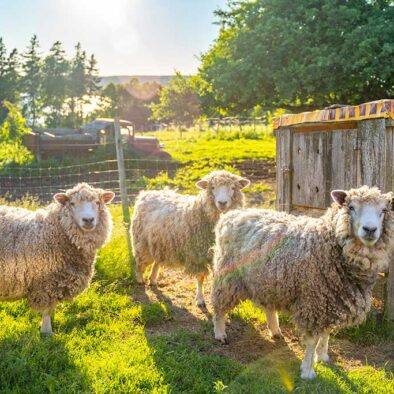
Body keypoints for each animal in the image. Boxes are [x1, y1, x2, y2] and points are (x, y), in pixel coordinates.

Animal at [0, 183, 114, 334]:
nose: (88, 220)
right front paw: (47, 331)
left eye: (97, 202)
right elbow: (47, 310)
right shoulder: (44, 283)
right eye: (72, 203)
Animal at [132, 171, 249, 306]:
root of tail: (146, 193)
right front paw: (200, 299)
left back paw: (152, 280)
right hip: (141, 241)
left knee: (157, 261)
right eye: (212, 187)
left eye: (233, 188)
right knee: (140, 261)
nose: (222, 203)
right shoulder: (197, 254)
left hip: (160, 243)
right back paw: (140, 279)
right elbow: (200, 277)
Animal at [211, 186, 394, 380]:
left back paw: (275, 330)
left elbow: (326, 333)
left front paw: (323, 356)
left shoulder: (330, 301)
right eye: (350, 207)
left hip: (268, 279)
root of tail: (233, 213)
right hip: (227, 274)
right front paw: (307, 370)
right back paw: (220, 333)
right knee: (219, 305)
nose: (370, 229)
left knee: (268, 306)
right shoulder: (314, 300)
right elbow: (312, 340)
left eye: (384, 210)